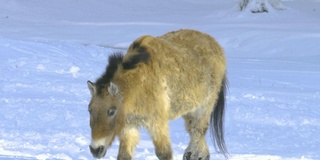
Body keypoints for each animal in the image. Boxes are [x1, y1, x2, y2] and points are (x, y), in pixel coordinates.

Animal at [87, 29, 228, 159]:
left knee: (198, 132)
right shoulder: (129, 126)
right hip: (189, 111)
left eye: (111, 111)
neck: (138, 84)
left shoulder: (157, 124)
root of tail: (216, 45)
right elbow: (124, 155)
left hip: (204, 108)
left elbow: (164, 153)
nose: (96, 149)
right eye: (90, 110)